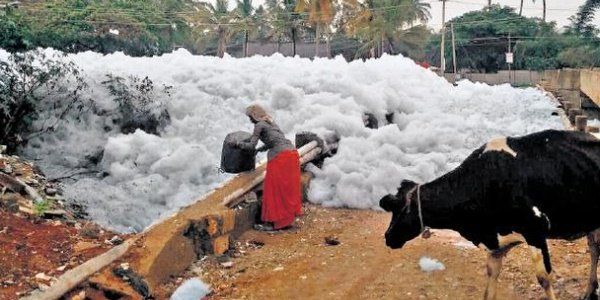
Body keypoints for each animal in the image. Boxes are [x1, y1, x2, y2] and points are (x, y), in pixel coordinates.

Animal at [382, 129, 600, 300]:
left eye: (400, 209)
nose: (387, 236)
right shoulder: (495, 244)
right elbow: (491, 279)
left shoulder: (535, 231)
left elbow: (543, 278)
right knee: (594, 249)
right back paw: (590, 291)